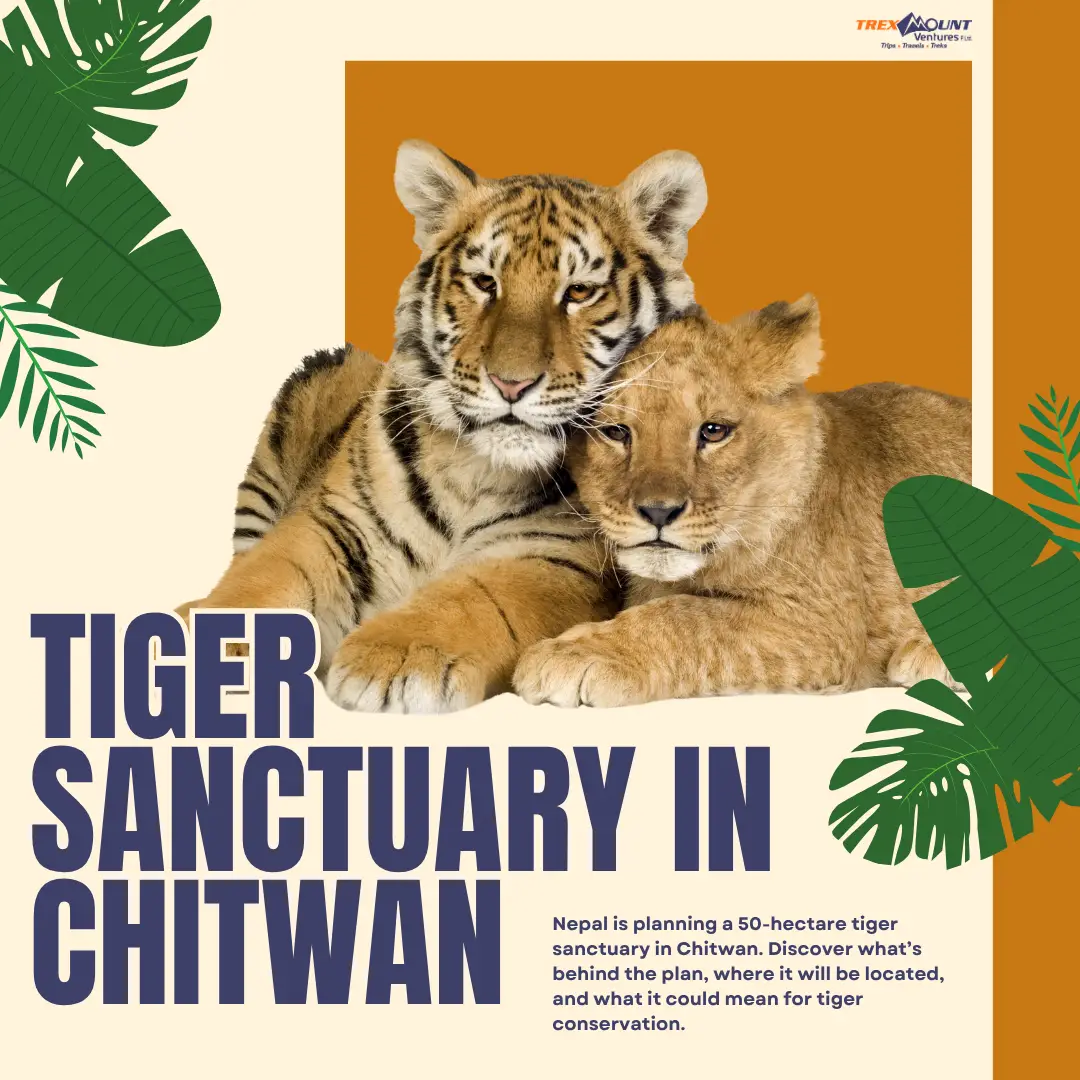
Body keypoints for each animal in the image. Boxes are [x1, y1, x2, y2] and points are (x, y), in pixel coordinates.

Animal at [184, 139, 708, 712]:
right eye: (484, 283)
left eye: (579, 292)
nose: (510, 383)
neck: (475, 467)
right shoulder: (333, 522)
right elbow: (261, 579)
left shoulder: (558, 559)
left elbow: (474, 596)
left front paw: (398, 656)